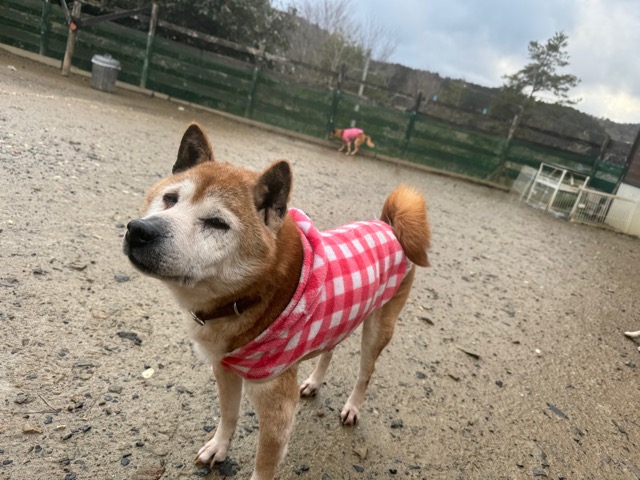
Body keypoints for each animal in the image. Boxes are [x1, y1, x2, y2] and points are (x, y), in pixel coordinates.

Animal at [123, 123, 431, 479]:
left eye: (217, 223)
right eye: (170, 199)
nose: (139, 230)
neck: (251, 297)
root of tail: (389, 225)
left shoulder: (276, 404)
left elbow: (264, 462)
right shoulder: (224, 369)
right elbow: (228, 415)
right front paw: (218, 447)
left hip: (378, 330)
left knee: (365, 374)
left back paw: (352, 407)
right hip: (338, 321)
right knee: (330, 349)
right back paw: (313, 382)